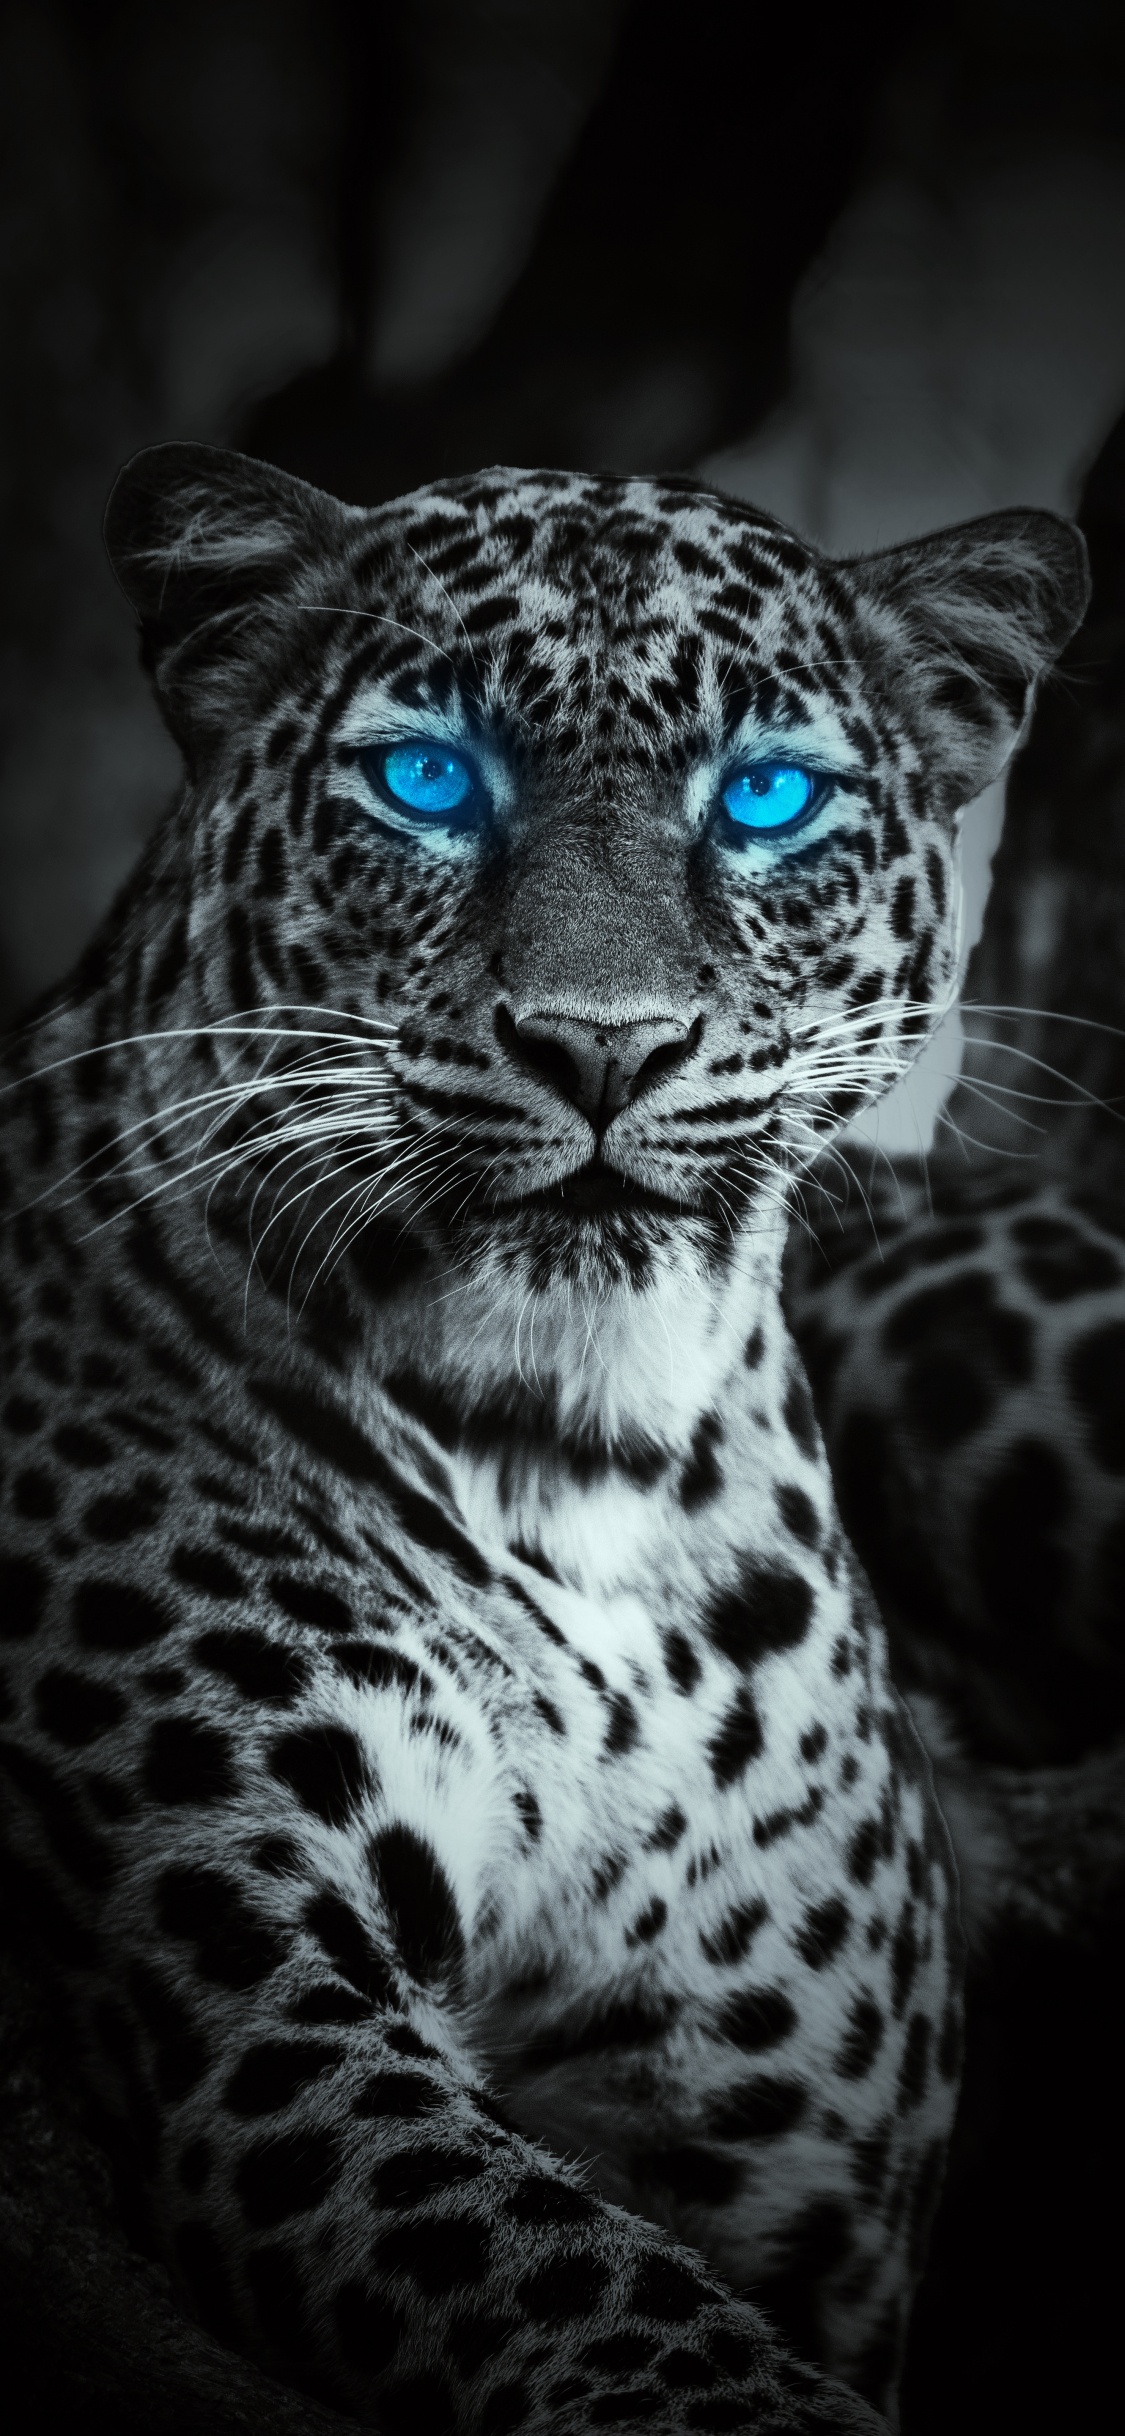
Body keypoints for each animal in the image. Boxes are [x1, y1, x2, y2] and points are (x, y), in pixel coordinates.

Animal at [0, 441, 1088, 2435]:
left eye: (766, 796)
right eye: (429, 777)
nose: (603, 1046)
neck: (577, 1449)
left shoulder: (788, 2151)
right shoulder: (255, 2009)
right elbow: (610, 2310)